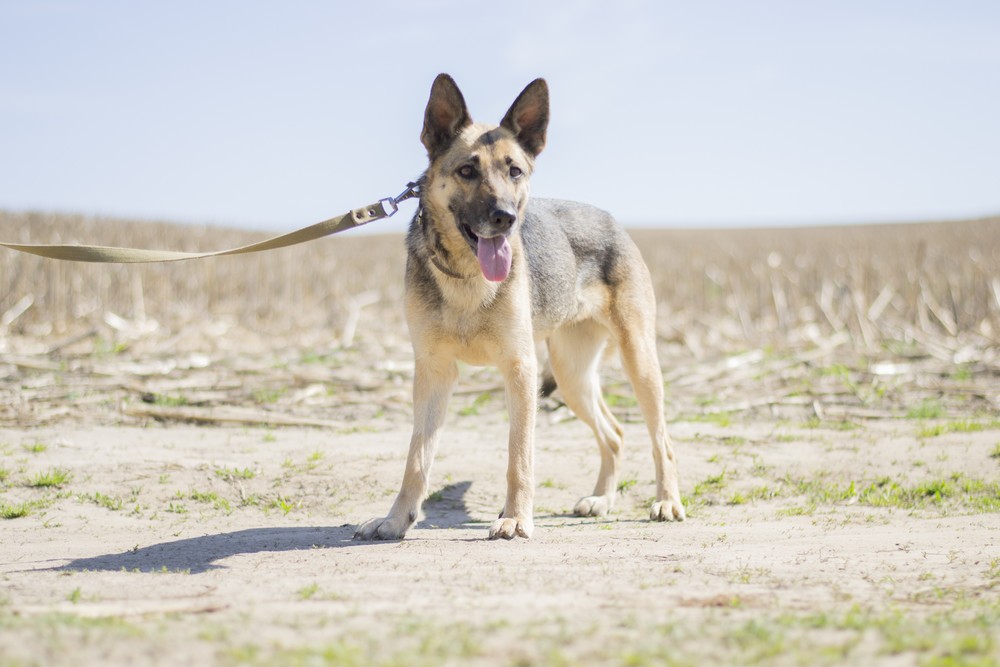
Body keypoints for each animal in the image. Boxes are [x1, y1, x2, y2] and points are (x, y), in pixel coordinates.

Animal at [354, 74, 688, 544]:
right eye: (467, 170)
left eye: (515, 171)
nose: (505, 218)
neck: (466, 275)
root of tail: (610, 219)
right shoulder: (434, 372)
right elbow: (416, 460)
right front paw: (397, 519)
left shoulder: (520, 369)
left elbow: (519, 457)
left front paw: (514, 518)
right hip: (571, 376)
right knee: (616, 433)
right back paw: (601, 499)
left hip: (638, 361)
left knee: (662, 439)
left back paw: (667, 501)